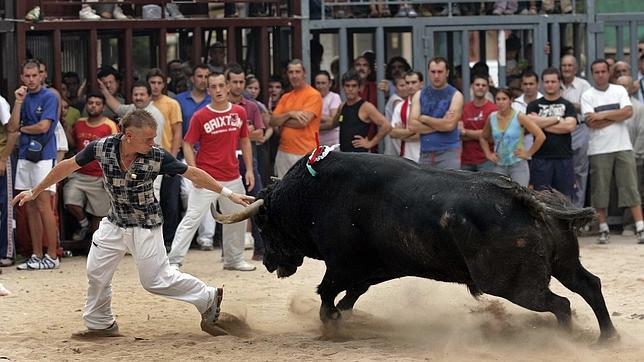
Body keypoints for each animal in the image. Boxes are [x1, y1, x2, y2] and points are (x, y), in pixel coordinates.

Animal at [218, 151, 620, 340]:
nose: (270, 262)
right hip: (563, 263)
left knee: (561, 304)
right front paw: (344, 318)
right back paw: (607, 338)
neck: (314, 195)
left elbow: (327, 295)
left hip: (514, 285)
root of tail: (524, 196)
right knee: (588, 285)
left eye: (264, 224)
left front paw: (331, 324)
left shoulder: (342, 265)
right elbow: (349, 296)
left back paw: (564, 339)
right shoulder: (372, 269)